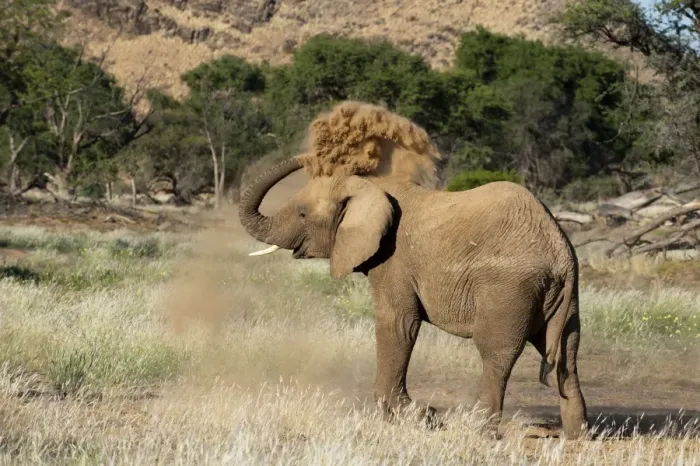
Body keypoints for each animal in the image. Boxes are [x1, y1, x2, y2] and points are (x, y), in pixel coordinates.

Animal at [238, 155, 589, 439]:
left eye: (301, 213)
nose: (306, 155)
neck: (371, 186)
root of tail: (559, 251)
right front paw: (418, 416)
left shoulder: (393, 259)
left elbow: (399, 324)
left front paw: (414, 417)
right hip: (561, 297)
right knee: (567, 353)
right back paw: (577, 436)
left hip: (509, 287)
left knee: (497, 353)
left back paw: (479, 432)